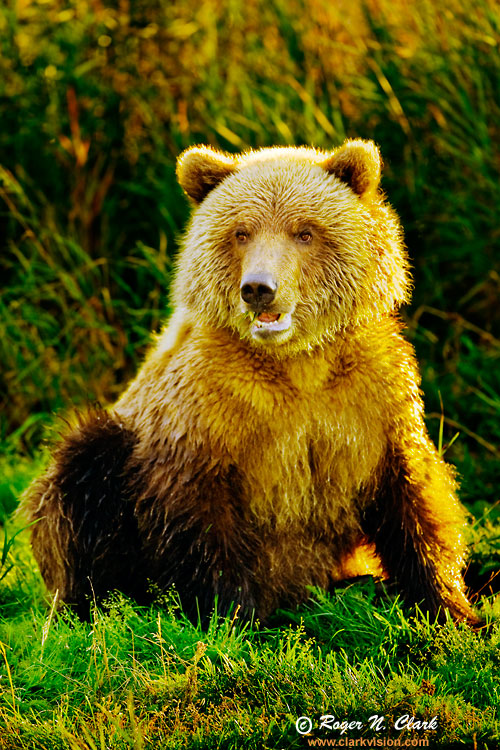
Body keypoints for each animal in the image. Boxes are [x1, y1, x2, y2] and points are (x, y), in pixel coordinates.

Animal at [22, 141, 476, 628]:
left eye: (304, 232)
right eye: (241, 232)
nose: (259, 288)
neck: (298, 361)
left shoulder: (374, 395)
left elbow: (413, 497)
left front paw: (451, 607)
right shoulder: (210, 407)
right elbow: (197, 519)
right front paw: (236, 612)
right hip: (105, 458)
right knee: (82, 467)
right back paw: (96, 605)